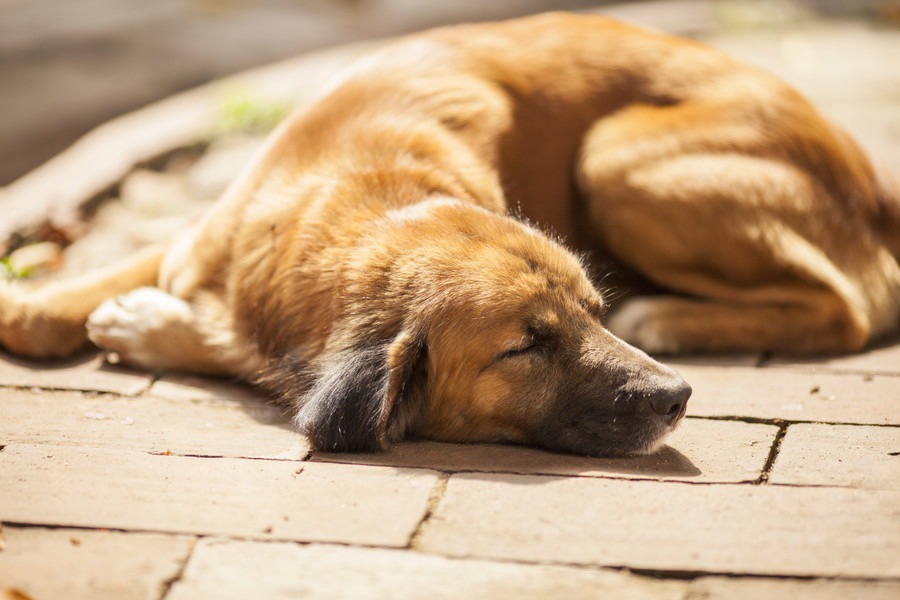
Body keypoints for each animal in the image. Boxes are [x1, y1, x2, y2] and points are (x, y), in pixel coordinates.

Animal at [1, 12, 900, 454]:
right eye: (527, 345)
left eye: (591, 313)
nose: (677, 397)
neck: (356, 192)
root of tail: (871, 175)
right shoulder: (202, 234)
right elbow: (71, 299)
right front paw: (41, 306)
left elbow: (235, 350)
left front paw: (149, 325)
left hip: (614, 156)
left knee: (849, 306)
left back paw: (673, 314)